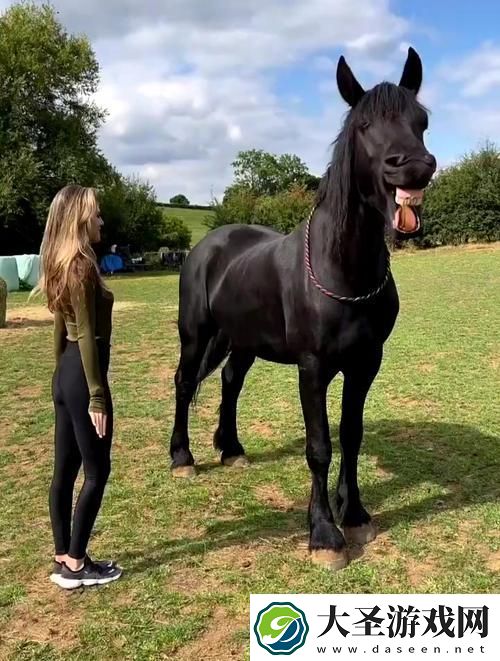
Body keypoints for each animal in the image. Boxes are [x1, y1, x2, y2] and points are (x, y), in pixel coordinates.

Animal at [169, 47, 436, 570]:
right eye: (365, 124)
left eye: (422, 121)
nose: (415, 168)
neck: (343, 271)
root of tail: (209, 243)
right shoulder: (312, 368)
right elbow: (319, 446)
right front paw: (324, 535)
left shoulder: (365, 364)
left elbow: (351, 435)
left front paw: (355, 514)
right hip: (196, 335)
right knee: (185, 383)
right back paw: (182, 458)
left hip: (242, 340)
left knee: (230, 381)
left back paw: (231, 449)